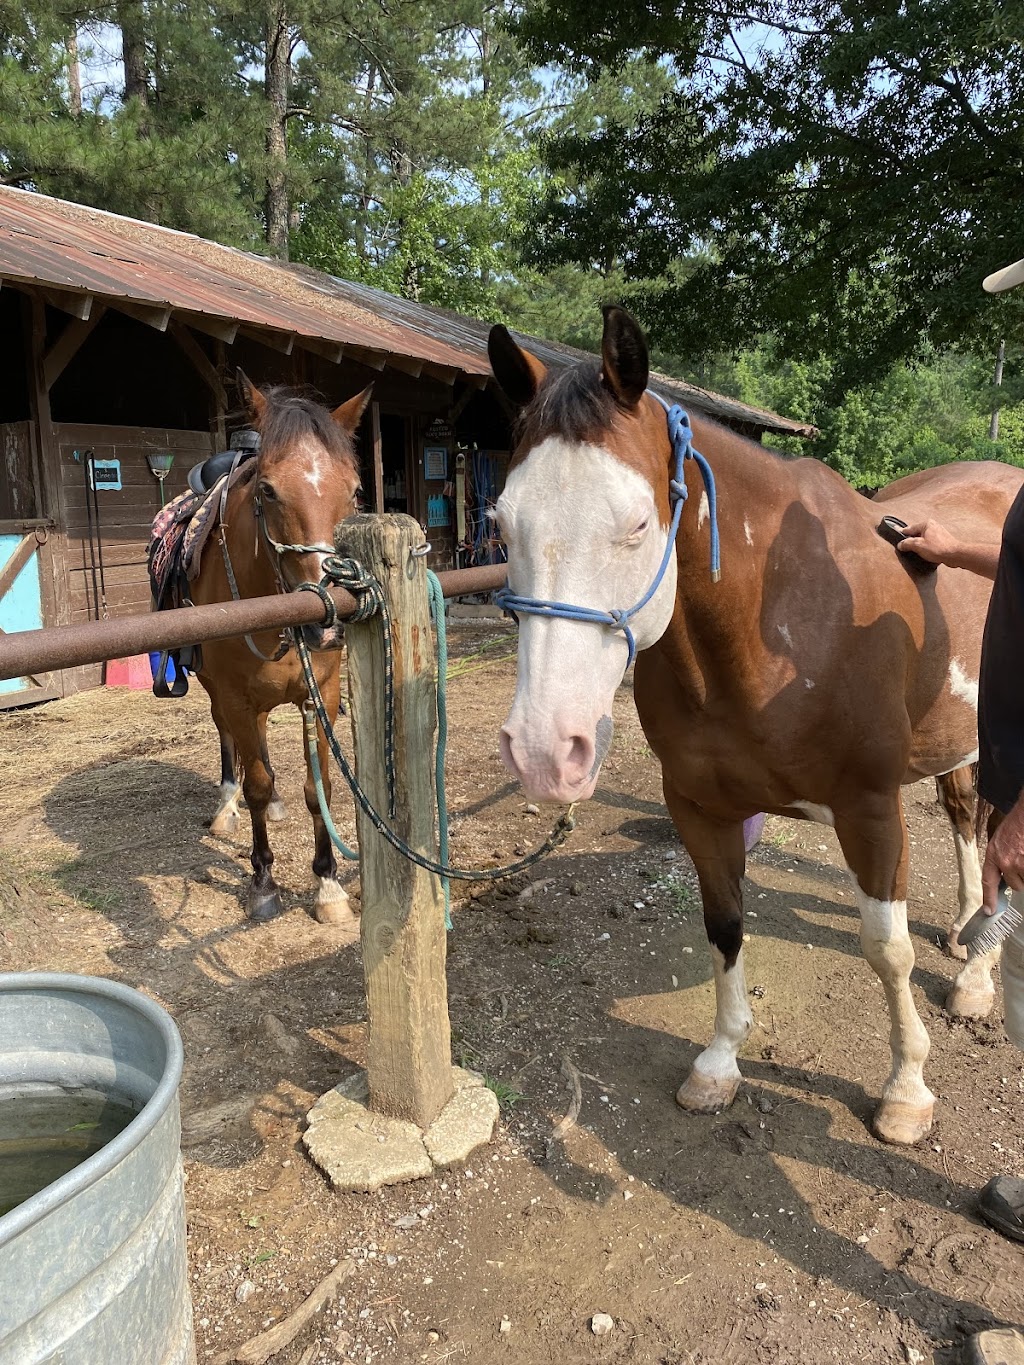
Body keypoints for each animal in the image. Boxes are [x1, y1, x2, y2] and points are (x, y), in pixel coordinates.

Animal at [191, 379, 371, 922]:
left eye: (355, 490)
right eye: (267, 490)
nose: (326, 628)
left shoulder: (321, 693)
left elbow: (321, 789)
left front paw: (328, 883)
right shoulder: (234, 695)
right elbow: (256, 782)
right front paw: (264, 880)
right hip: (216, 691)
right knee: (230, 740)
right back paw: (227, 805)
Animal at [488, 307, 1021, 1141]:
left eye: (636, 523)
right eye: (501, 523)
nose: (544, 749)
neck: (777, 628)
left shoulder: (871, 811)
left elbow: (887, 949)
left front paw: (906, 1088)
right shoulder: (699, 808)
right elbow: (725, 924)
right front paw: (719, 1062)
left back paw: (975, 977)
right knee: (968, 817)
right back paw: (968, 925)